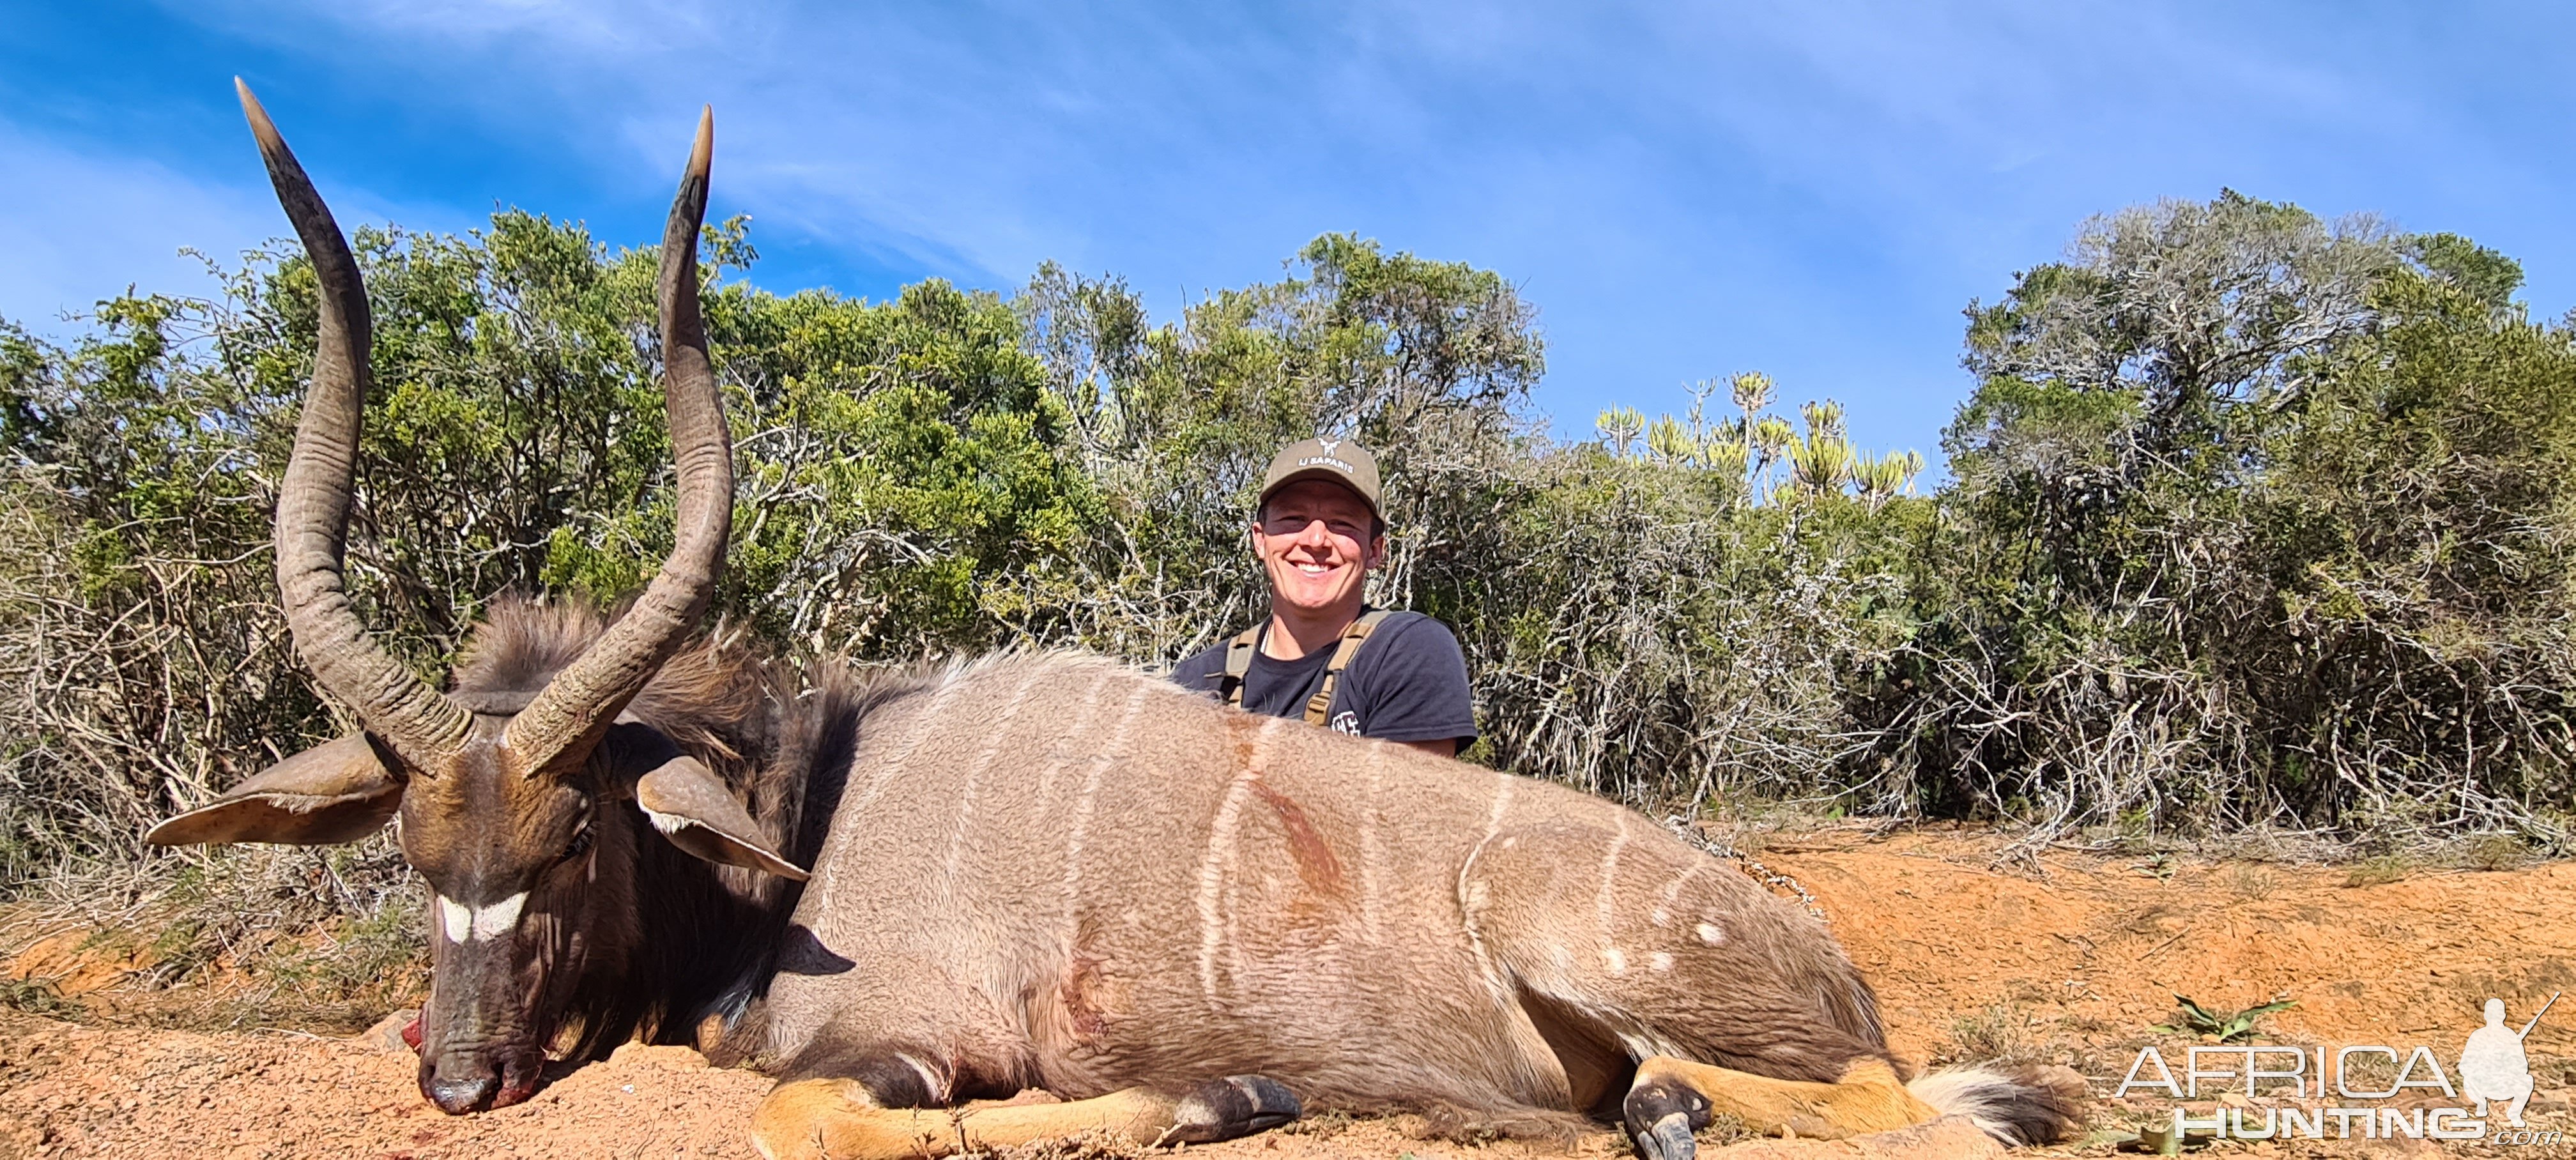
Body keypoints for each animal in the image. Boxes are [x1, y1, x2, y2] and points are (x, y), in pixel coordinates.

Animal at [146, 84, 2091, 1159]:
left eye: (567, 843)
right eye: (412, 857)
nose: (461, 1080)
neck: (816, 812)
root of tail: (1809, 940)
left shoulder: (904, 1044)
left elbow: (808, 1113)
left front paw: (1218, 1099)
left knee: (1878, 1099)